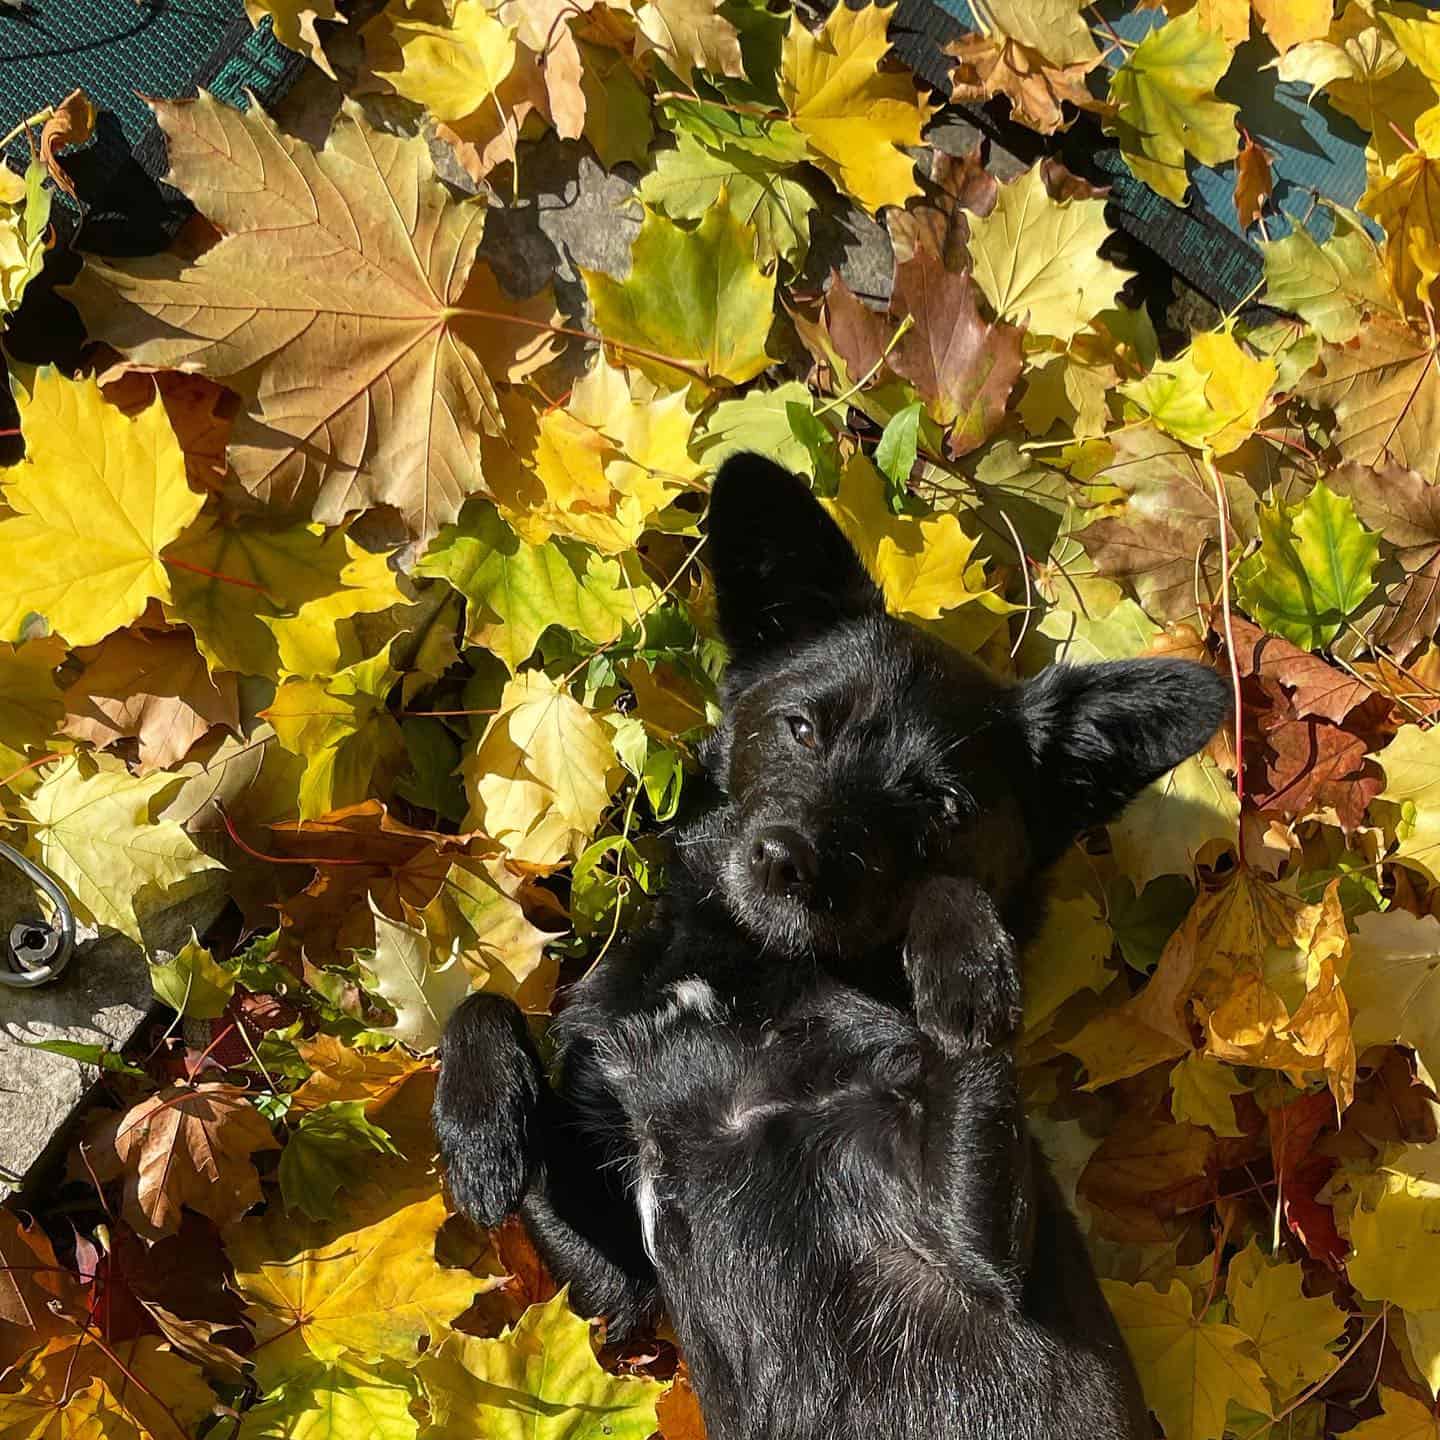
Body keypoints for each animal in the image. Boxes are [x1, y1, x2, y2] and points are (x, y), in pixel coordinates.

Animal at [429, 452, 1226, 1440]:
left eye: (943, 806)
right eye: (804, 727)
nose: (788, 861)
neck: (745, 982)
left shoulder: (979, 1251)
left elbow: (958, 961)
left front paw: (965, 967)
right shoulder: (619, 1278)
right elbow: (486, 1003)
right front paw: (479, 1133)